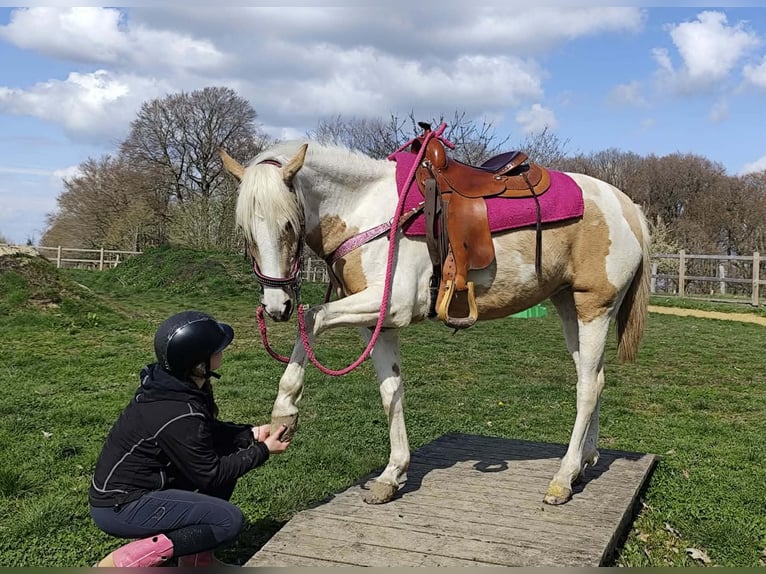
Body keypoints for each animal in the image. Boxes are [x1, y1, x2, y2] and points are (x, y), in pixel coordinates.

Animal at [219, 132, 651, 506]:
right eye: (244, 231)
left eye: (288, 224)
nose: (276, 306)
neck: (367, 211)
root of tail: (627, 206)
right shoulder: (377, 324)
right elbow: (390, 391)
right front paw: (392, 475)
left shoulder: (390, 304)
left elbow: (311, 319)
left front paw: (285, 412)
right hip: (568, 307)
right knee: (595, 378)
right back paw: (584, 463)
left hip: (595, 308)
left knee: (587, 387)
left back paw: (563, 478)